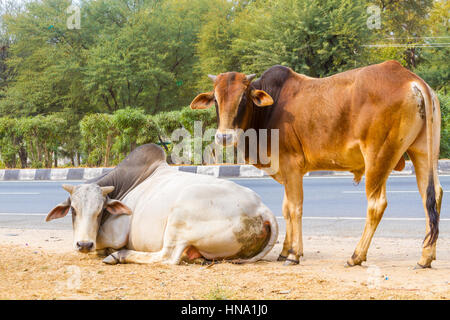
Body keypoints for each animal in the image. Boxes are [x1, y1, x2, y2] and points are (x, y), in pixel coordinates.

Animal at [46, 144, 278, 264]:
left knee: (166, 257)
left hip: (180, 215)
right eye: (73, 210)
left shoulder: (116, 234)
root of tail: (262, 209)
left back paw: (119, 256)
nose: (84, 244)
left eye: (100, 210)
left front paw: (108, 251)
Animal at [190, 60, 442, 268]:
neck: (270, 109)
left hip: (378, 158)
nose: (224, 136)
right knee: (432, 195)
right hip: (422, 152)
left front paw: (294, 255)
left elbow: (295, 208)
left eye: (243, 97)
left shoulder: (292, 166)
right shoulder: (286, 172)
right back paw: (425, 257)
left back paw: (356, 256)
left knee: (376, 204)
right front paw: (285, 251)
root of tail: (410, 79)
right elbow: (286, 208)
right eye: (216, 99)